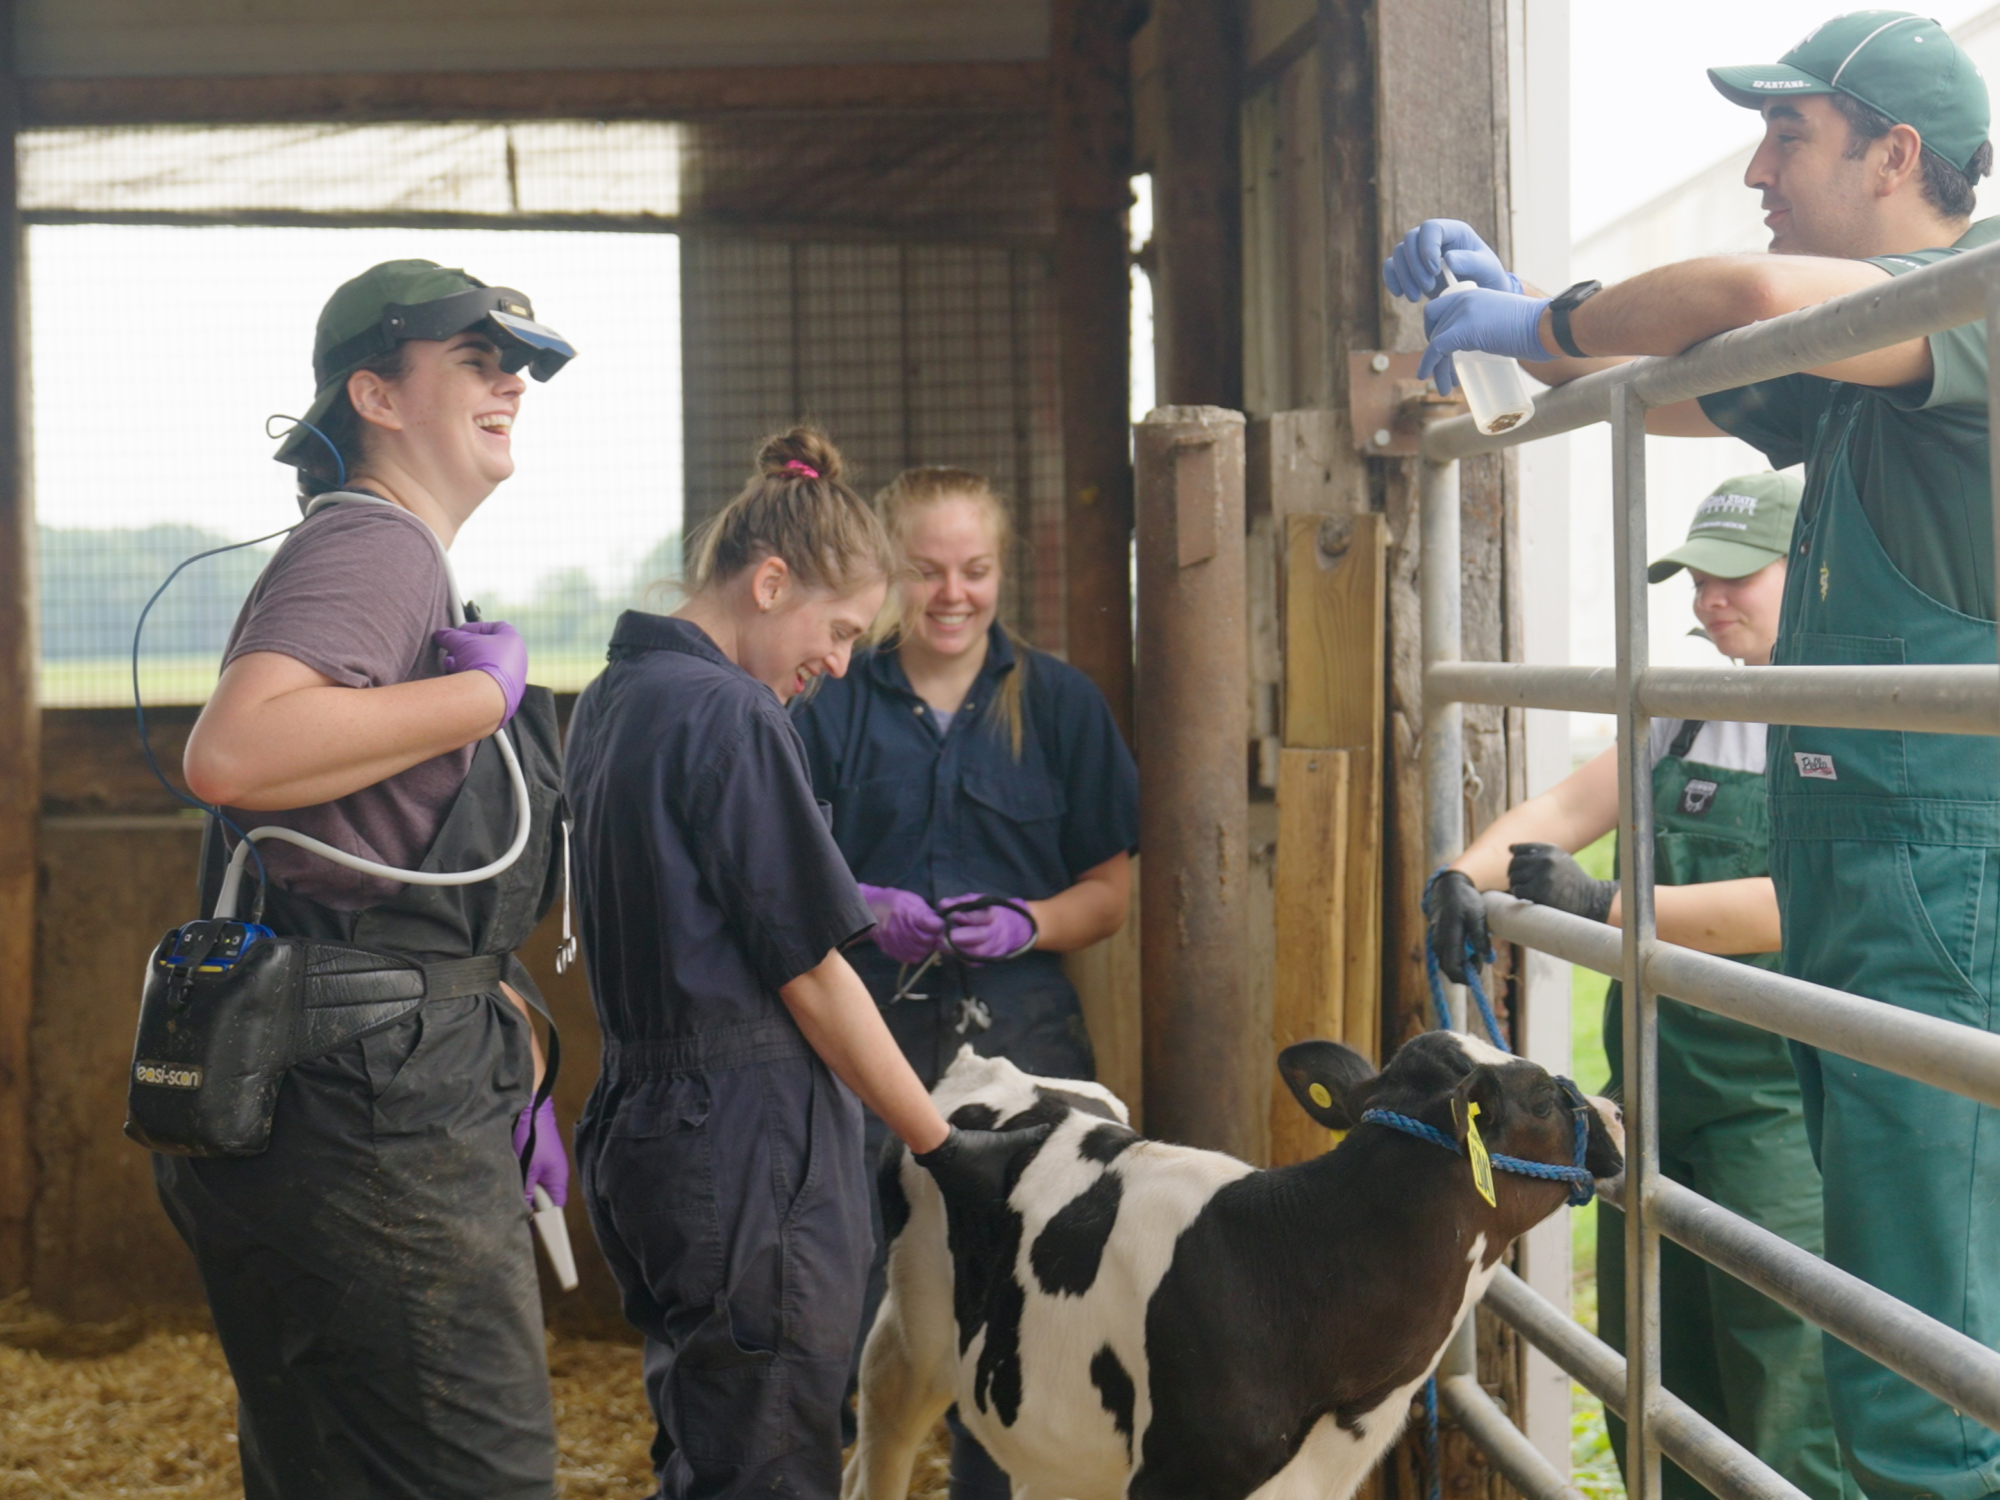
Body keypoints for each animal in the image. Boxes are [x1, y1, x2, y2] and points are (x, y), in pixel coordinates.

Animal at [844, 1032, 1624, 1500]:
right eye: (1544, 1098)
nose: (1616, 1111)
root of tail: (990, 1066)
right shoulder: (1176, 1478)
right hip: (907, 1339)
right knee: (877, 1447)